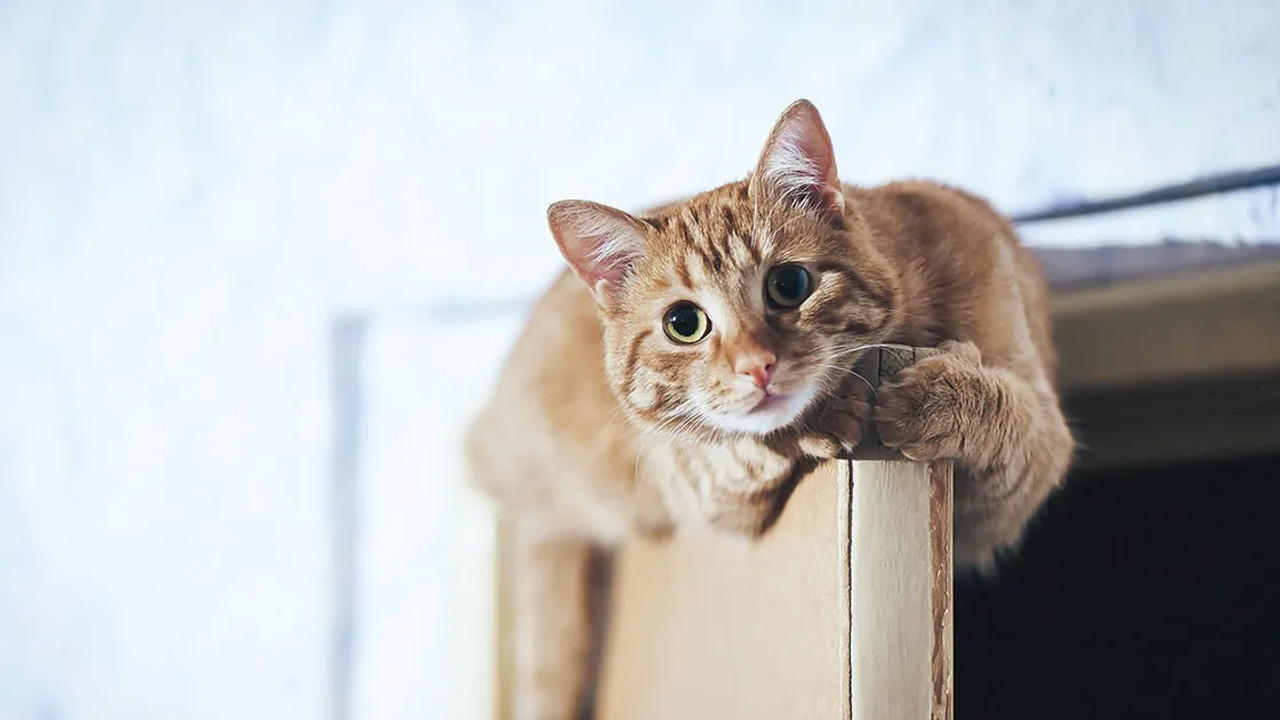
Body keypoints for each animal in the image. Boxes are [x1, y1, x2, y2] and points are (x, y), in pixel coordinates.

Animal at [465, 98, 1075, 712]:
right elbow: (732, 450)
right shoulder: (686, 480)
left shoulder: (1013, 485)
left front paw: (932, 397)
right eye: (682, 323)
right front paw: (821, 413)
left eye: (790, 284)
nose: (756, 364)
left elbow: (1007, 412)